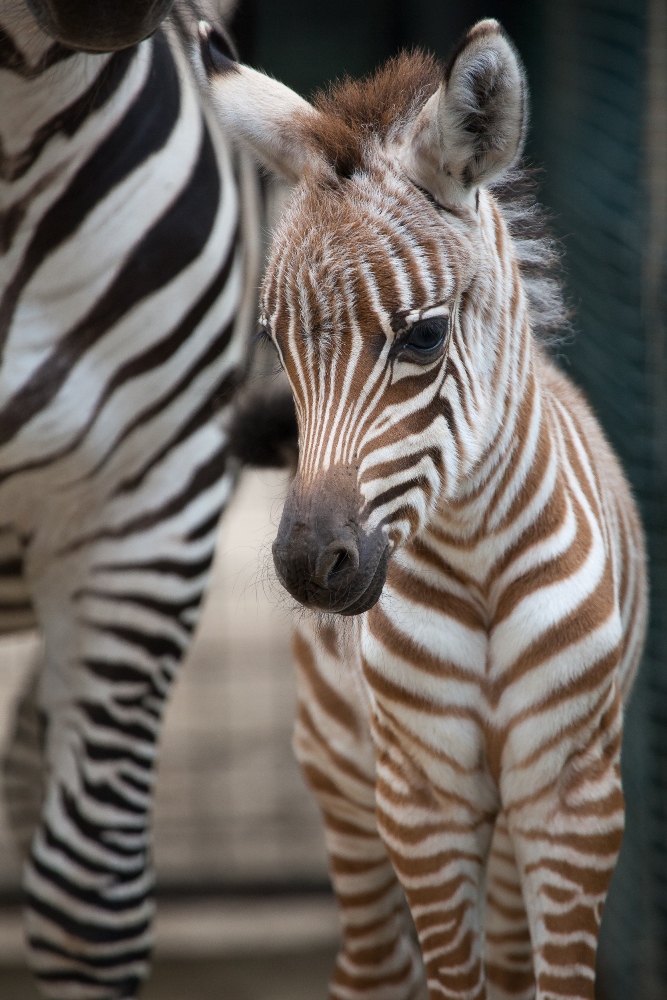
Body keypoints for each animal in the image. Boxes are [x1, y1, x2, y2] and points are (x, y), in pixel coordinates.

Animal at [205, 17, 652, 1000]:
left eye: (423, 336)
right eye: (273, 342)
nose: (307, 565)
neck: (478, 558)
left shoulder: (573, 798)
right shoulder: (419, 799)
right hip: (343, 778)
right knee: (370, 967)